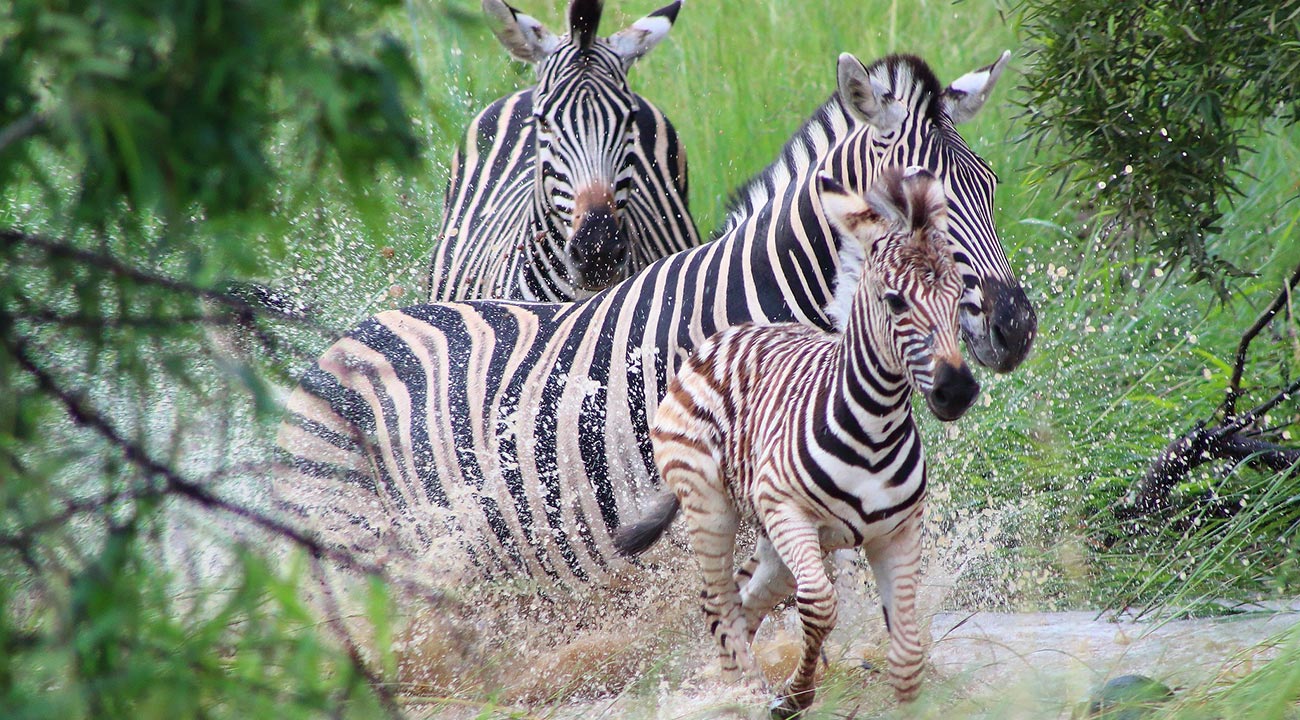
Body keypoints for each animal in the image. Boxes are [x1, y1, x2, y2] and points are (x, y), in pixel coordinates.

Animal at [611, 167, 977, 712]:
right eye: (895, 301)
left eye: (957, 297)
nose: (958, 390)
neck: (876, 428)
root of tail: (725, 337)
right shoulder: (788, 510)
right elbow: (820, 606)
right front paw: (796, 696)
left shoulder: (897, 533)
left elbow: (908, 649)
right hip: (713, 505)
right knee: (719, 601)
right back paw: (745, 690)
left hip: (775, 541)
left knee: (744, 600)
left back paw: (733, 685)